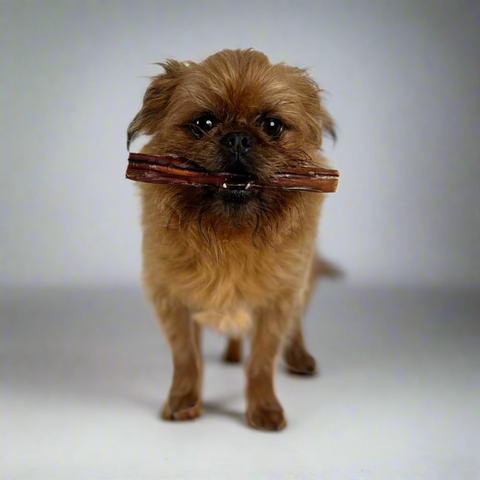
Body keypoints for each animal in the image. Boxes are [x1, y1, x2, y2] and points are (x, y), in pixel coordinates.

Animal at [127, 49, 338, 432]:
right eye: (203, 123)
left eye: (272, 126)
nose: (238, 138)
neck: (229, 234)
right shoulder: (171, 299)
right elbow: (186, 357)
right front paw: (184, 399)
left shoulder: (278, 302)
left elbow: (262, 362)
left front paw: (264, 407)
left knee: (297, 325)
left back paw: (298, 357)